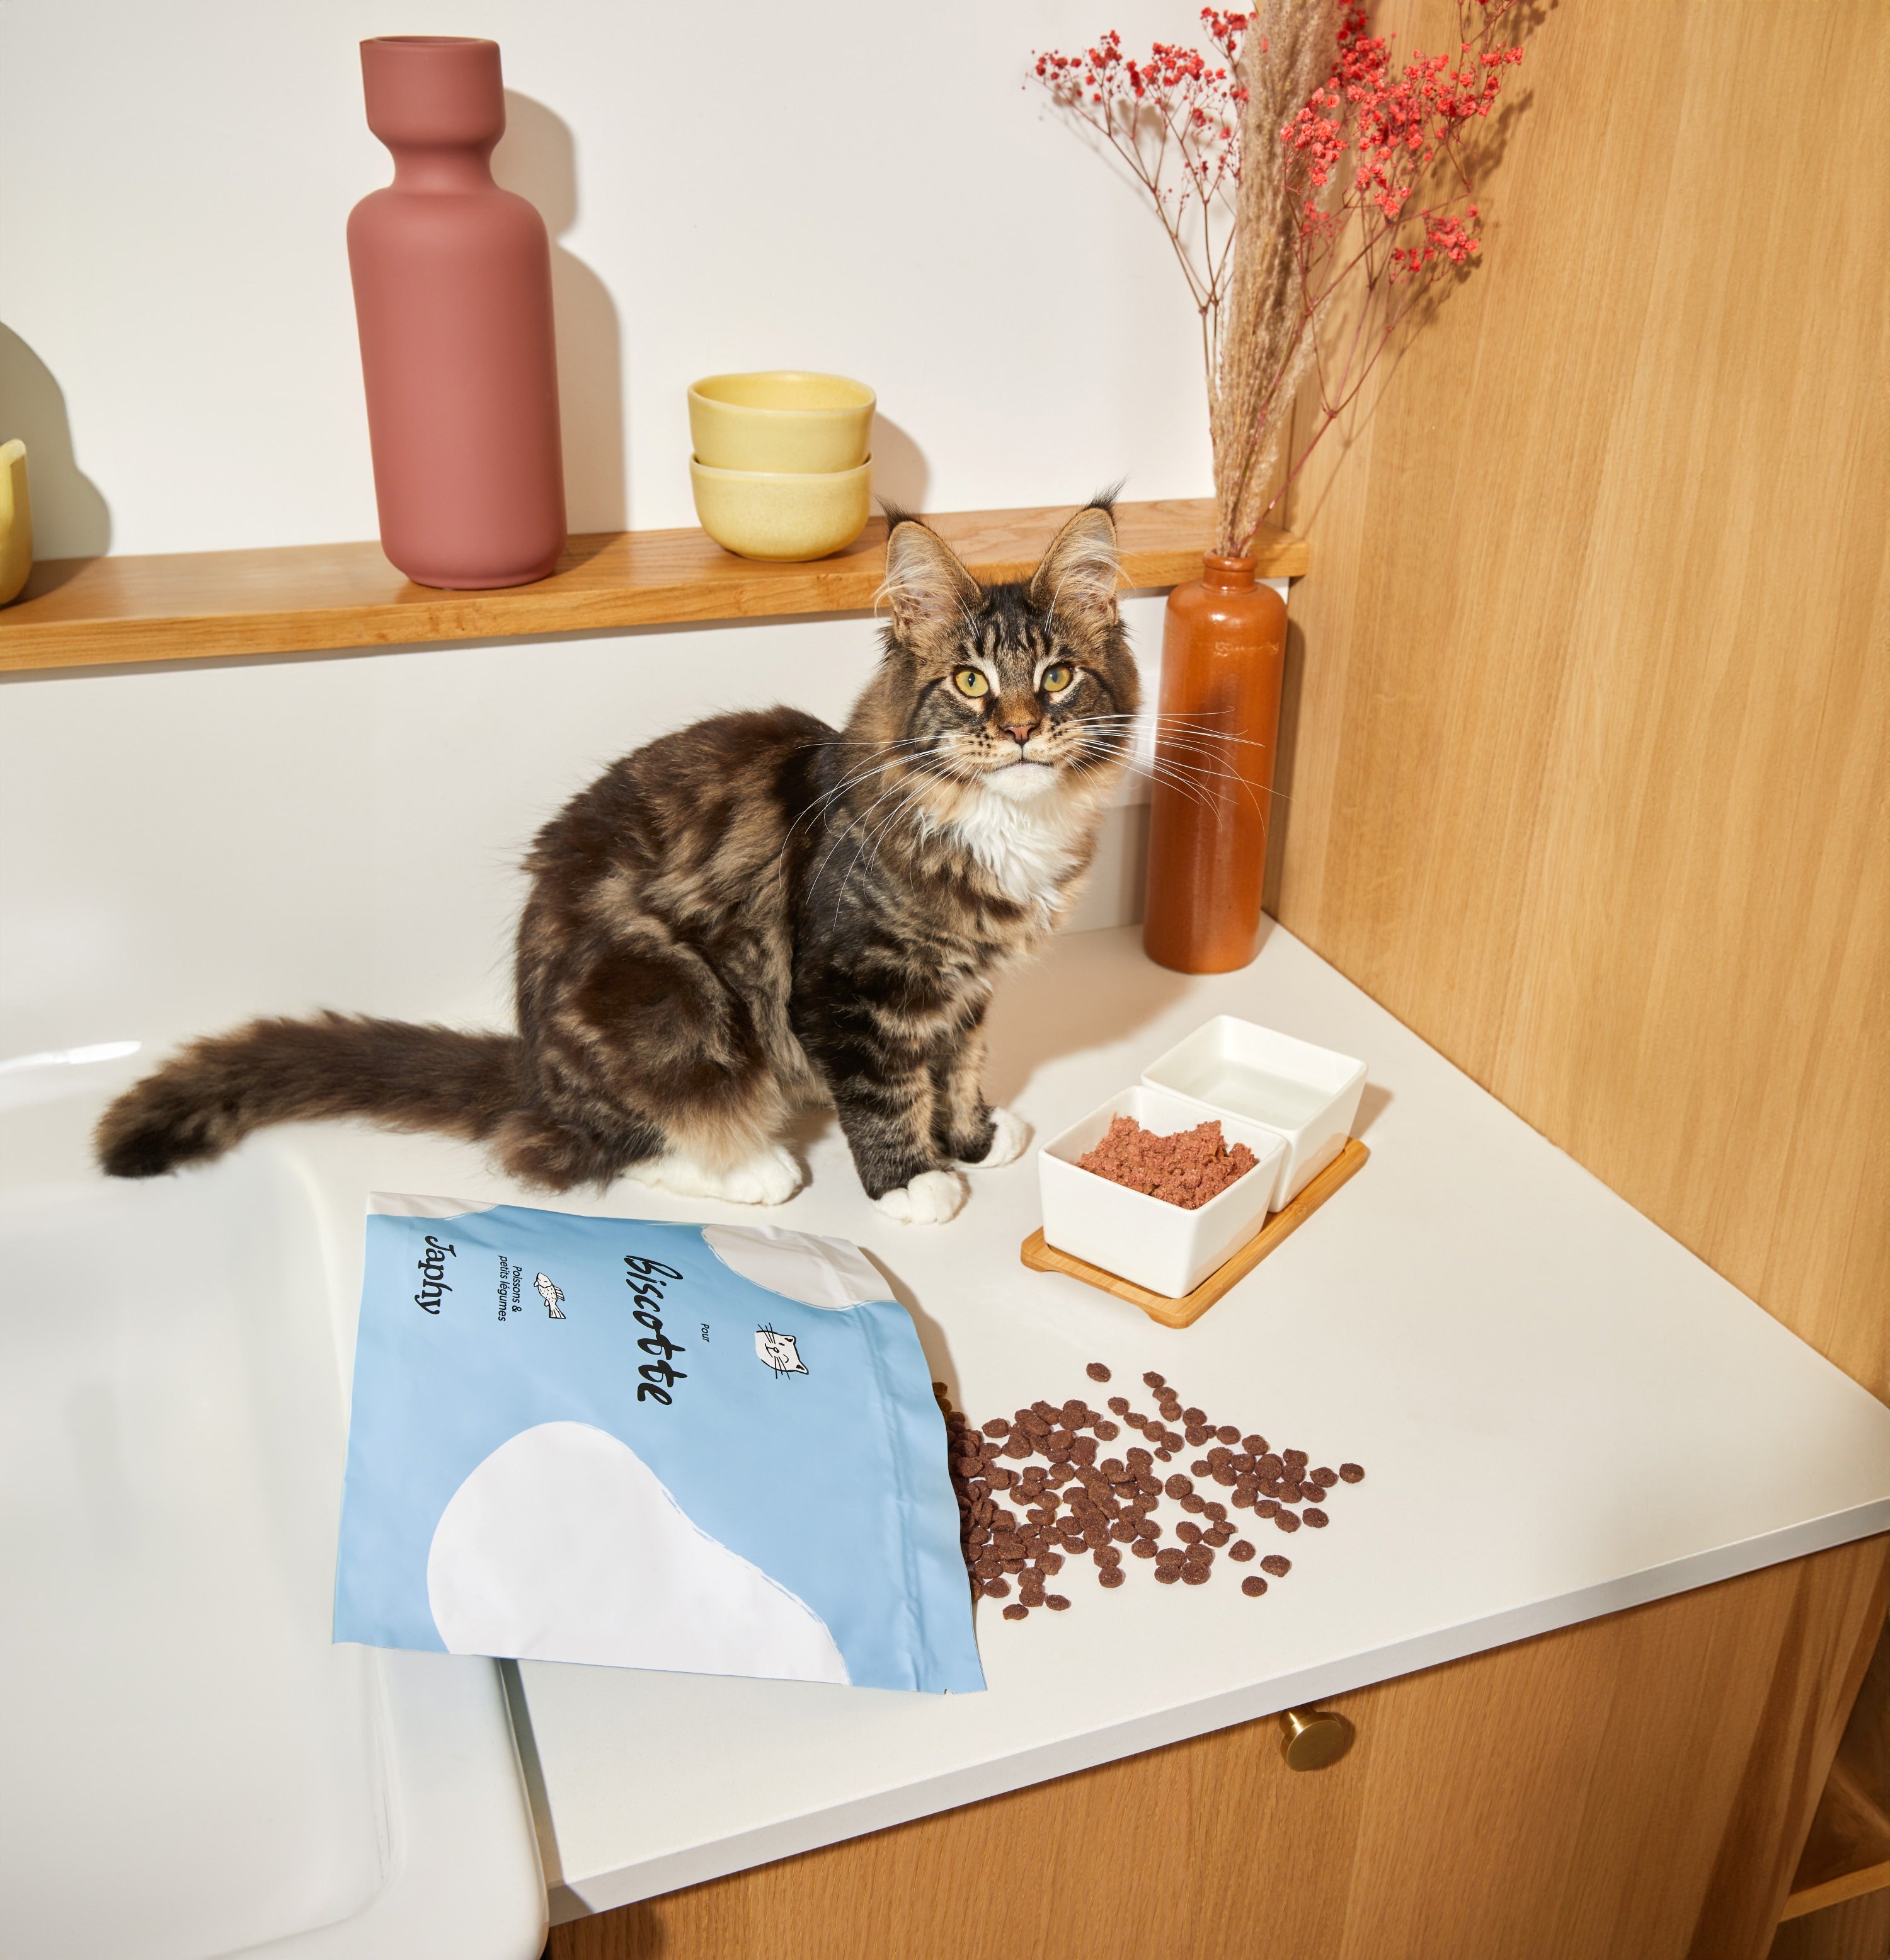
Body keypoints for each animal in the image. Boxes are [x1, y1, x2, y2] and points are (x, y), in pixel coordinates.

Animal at [96, 498, 1137, 1215]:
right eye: (970, 681)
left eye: (1056, 677)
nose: (1019, 729)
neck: (1002, 827)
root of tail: (532, 1065)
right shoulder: (845, 985)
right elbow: (885, 1094)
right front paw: (913, 1183)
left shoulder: (965, 990)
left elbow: (954, 1067)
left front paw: (972, 1137)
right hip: (668, 993)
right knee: (583, 1146)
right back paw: (752, 1165)